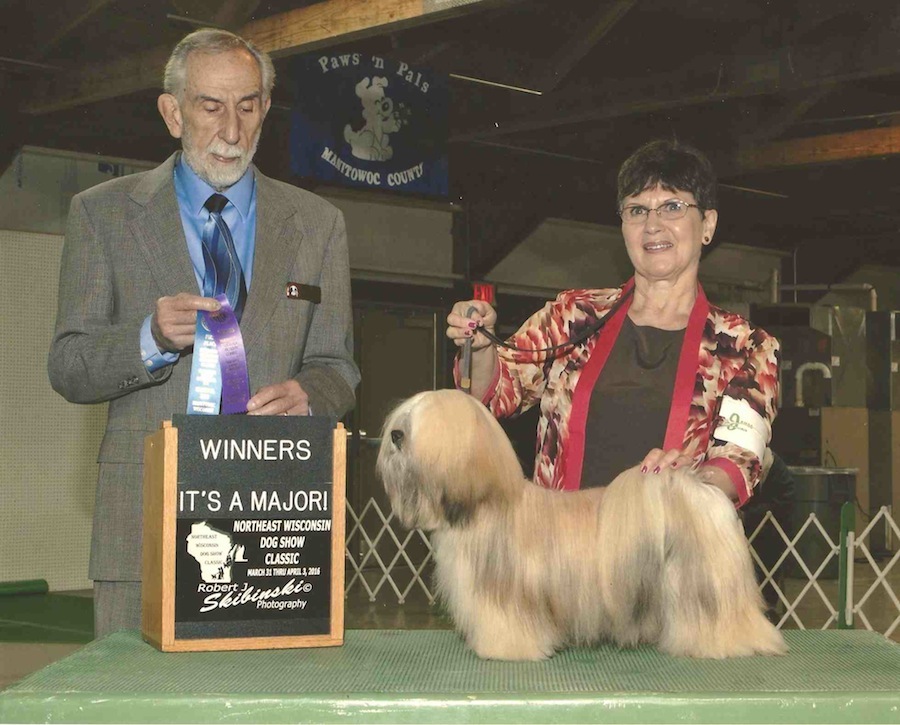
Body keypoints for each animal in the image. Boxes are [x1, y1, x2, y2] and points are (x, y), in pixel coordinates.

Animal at [378, 390, 788, 660]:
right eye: (402, 421)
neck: (486, 503)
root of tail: (695, 494)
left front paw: (504, 648)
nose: (395, 436)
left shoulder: (505, 594)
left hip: (700, 587)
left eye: (419, 425)